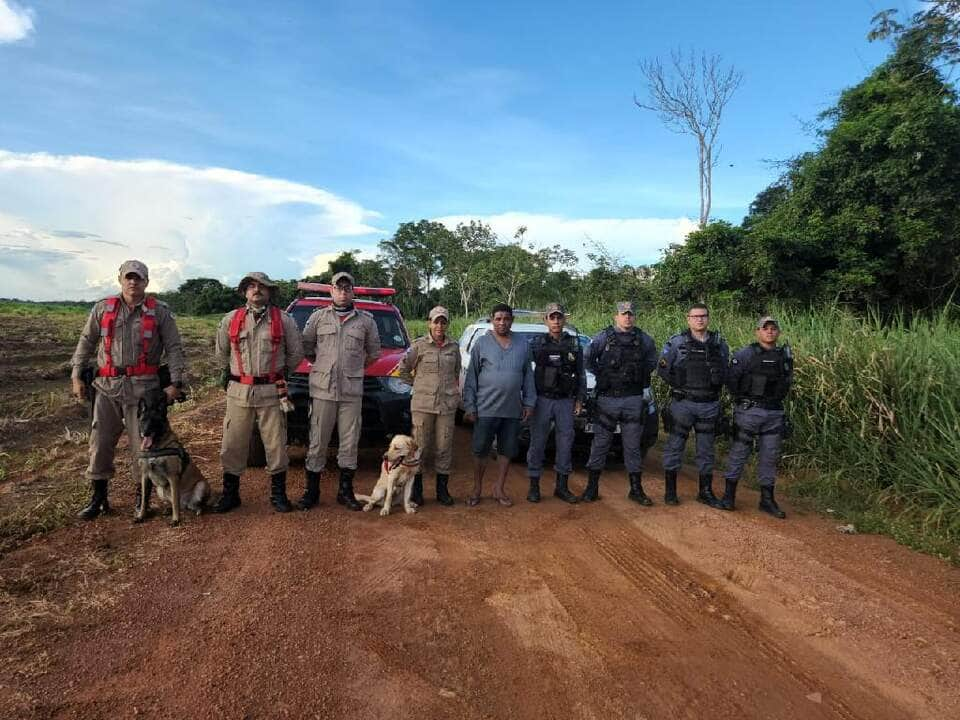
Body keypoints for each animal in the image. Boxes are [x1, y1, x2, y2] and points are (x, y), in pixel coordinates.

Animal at [135, 390, 208, 524]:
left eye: (154, 421)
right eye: (143, 420)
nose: (145, 432)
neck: (155, 447)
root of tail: (185, 504)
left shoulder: (172, 476)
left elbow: (175, 501)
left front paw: (175, 519)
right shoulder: (145, 476)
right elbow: (144, 500)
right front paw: (141, 516)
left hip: (201, 486)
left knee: (193, 504)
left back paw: (198, 510)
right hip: (160, 489)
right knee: (175, 503)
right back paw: (168, 509)